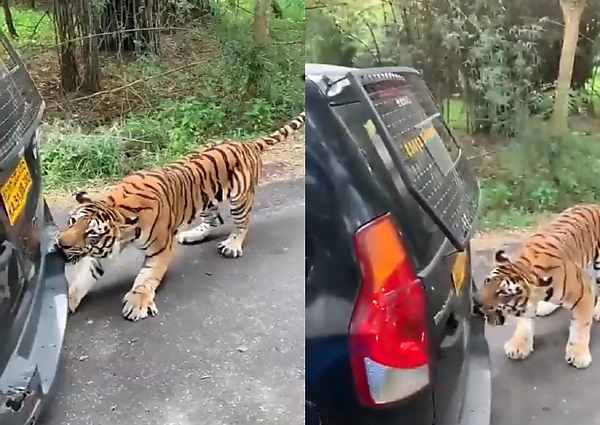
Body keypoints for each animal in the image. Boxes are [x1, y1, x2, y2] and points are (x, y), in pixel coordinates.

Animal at [54, 112, 308, 322]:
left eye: (91, 234)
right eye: (72, 221)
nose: (60, 243)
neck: (117, 209)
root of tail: (247, 143)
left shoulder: (160, 249)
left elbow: (146, 279)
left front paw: (137, 304)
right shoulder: (102, 254)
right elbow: (83, 278)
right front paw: (68, 302)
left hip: (239, 199)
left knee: (242, 223)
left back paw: (232, 245)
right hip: (206, 200)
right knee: (215, 219)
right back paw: (192, 235)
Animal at [474, 203, 600, 368]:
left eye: (503, 294)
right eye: (487, 281)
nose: (476, 302)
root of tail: (593, 204)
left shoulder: (583, 293)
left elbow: (580, 327)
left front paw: (578, 355)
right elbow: (524, 323)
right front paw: (518, 345)